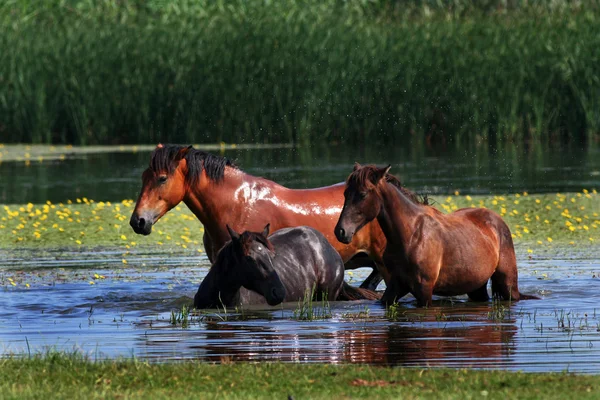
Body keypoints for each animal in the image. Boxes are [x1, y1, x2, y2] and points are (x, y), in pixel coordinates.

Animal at [332, 162, 540, 306]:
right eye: (345, 193)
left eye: (363, 194)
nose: (341, 231)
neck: (410, 235)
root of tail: (497, 221)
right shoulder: (395, 286)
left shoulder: (424, 290)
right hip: (476, 286)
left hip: (508, 285)